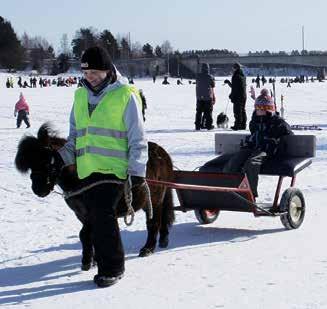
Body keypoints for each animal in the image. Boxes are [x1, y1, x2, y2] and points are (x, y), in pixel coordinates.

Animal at [15, 124, 176, 268]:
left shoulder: (94, 211)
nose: (38, 189)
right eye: (30, 163)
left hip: (155, 199)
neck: (80, 179)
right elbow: (85, 234)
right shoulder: (81, 214)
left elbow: (89, 233)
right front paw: (90, 261)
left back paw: (148, 248)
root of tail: (162, 153)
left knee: (154, 221)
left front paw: (90, 261)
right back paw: (163, 239)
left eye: (48, 159)